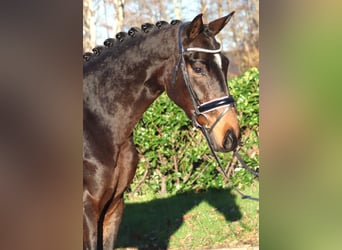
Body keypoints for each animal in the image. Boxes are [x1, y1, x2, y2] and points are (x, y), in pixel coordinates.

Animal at [83, 11, 240, 250]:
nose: (231, 134)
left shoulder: (113, 207)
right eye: (198, 68)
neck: (97, 127)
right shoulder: (89, 211)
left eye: (226, 64)